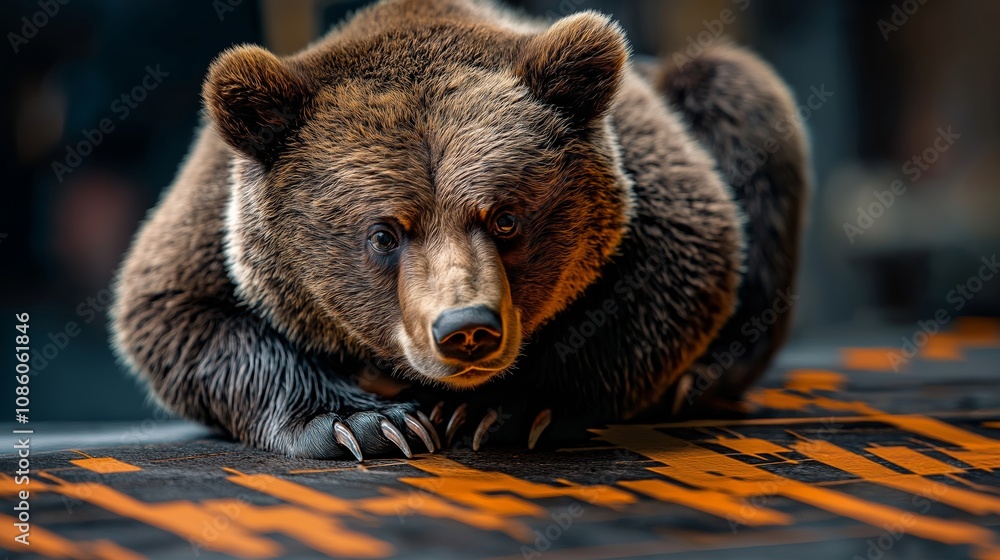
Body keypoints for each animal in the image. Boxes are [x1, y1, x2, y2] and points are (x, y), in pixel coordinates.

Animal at [111, 0, 808, 459]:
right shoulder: (212, 214)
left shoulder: (646, 159)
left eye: (506, 217)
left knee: (735, 89)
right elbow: (178, 316)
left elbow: (681, 260)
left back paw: (698, 376)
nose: (466, 328)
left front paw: (504, 408)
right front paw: (365, 422)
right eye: (384, 234)